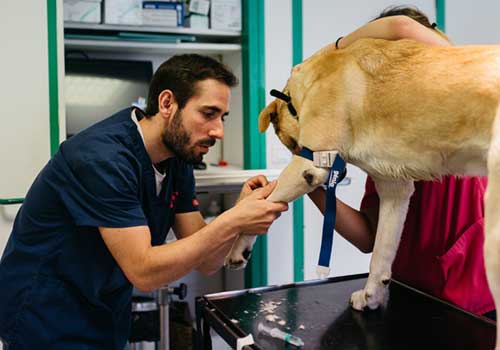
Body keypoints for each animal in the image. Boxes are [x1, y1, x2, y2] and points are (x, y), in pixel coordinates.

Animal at [229, 37, 500, 344]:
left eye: (291, 146)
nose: (342, 174)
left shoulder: (307, 165)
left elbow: (269, 197)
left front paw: (239, 248)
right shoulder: (395, 189)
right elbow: (381, 251)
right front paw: (372, 295)